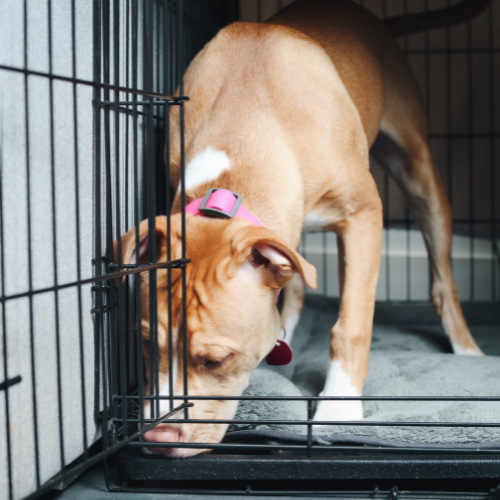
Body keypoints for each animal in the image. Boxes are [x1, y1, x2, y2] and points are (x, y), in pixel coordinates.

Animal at [115, 0, 486, 458]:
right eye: (147, 343)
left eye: (216, 359)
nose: (156, 438)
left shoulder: (364, 215)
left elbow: (351, 324)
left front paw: (339, 408)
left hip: (419, 173)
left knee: (442, 278)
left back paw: (466, 349)